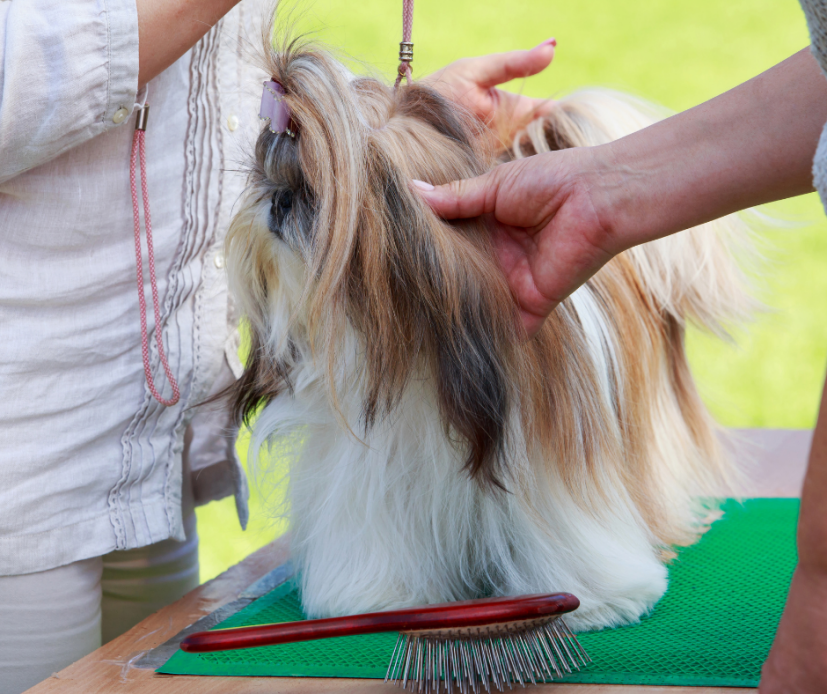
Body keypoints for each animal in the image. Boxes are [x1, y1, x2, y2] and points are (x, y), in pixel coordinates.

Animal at [225, 39, 752, 636]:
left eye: (315, 188)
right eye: (265, 177)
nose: (277, 201)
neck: (414, 343)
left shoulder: (546, 459)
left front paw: (600, 598)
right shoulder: (371, 466)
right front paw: (375, 598)